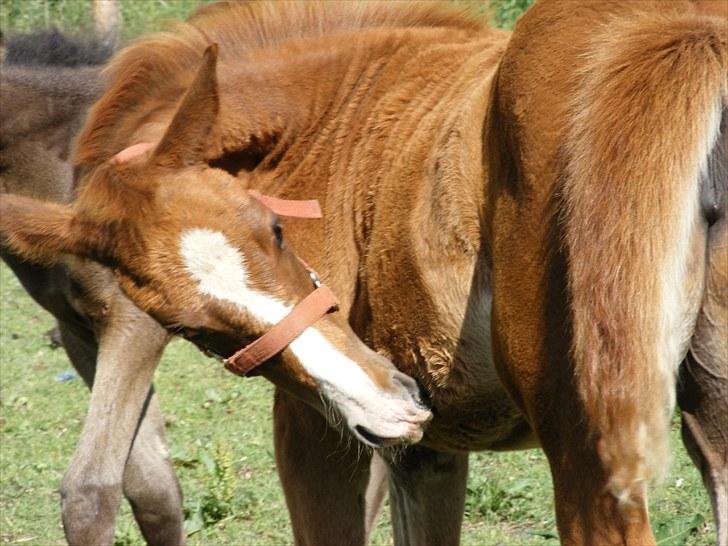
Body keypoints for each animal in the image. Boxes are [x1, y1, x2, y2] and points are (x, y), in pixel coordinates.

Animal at [0, 1, 724, 544]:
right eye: (193, 328)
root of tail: (679, 38)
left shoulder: (316, 435)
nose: (392, 402)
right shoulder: (425, 454)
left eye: (273, 229)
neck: (335, 117)